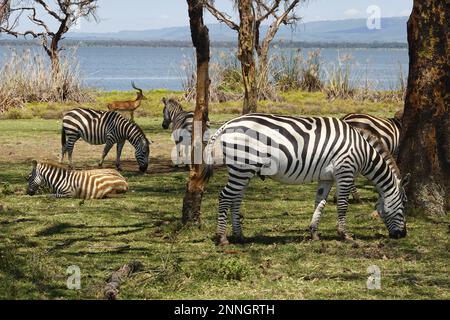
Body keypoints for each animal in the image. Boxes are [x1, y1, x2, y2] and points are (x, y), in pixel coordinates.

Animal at [200, 113, 408, 245]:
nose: (403, 235)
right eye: (405, 204)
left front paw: (314, 233)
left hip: (242, 170)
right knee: (225, 196)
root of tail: (227, 124)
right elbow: (342, 205)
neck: (363, 152)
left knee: (235, 199)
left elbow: (320, 203)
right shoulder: (345, 171)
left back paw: (239, 235)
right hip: (242, 168)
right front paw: (345, 234)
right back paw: (222, 238)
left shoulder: (326, 177)